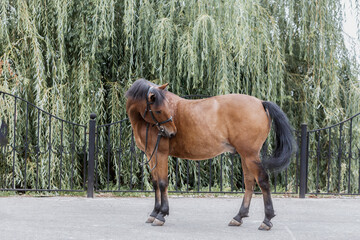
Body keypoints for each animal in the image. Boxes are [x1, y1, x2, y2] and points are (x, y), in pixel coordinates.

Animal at [126, 79, 296, 231]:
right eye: (159, 110)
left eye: (165, 108)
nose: (172, 132)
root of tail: (261, 102)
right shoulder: (151, 154)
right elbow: (155, 183)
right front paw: (154, 213)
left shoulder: (160, 153)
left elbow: (162, 183)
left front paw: (161, 215)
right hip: (245, 155)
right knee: (249, 183)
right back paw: (239, 217)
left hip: (250, 155)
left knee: (263, 181)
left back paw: (267, 220)